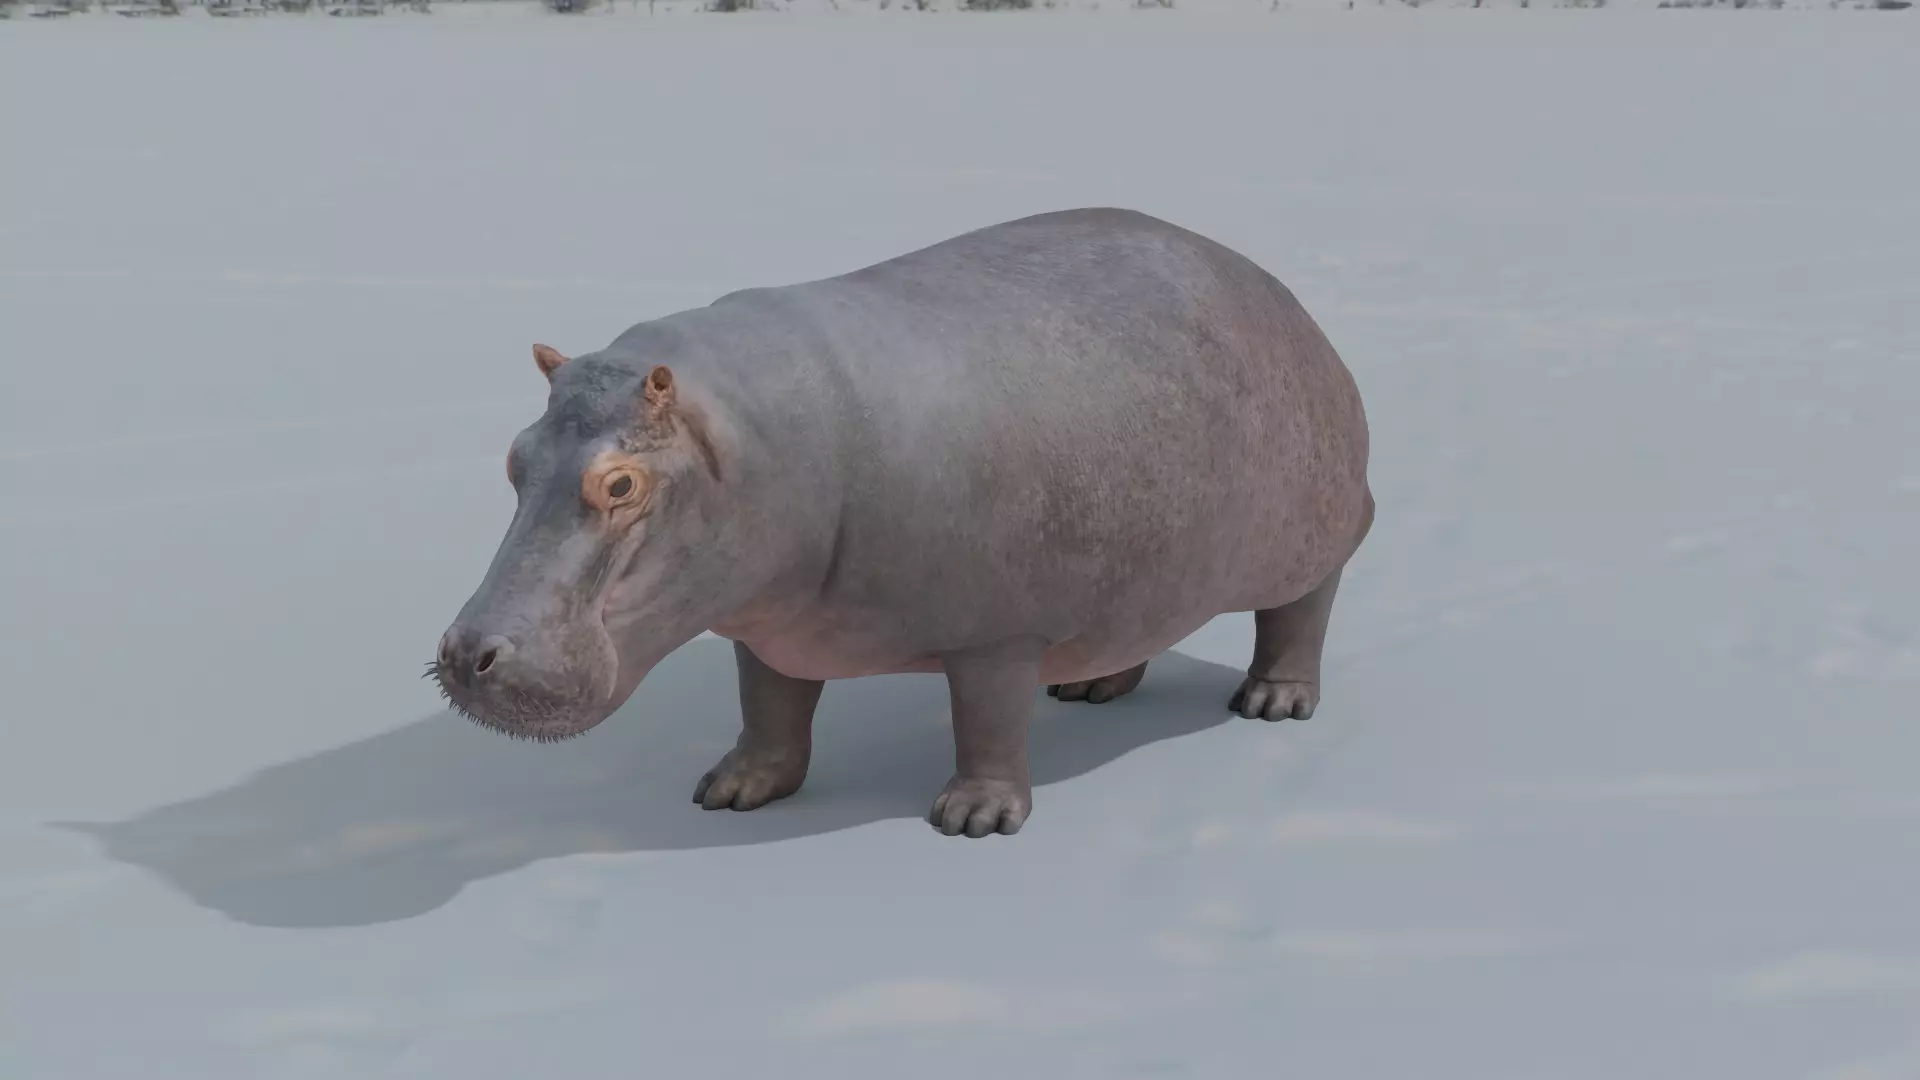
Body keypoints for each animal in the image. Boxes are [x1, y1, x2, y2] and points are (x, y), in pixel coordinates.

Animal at [433, 207, 1373, 838]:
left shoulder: (998, 632)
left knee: (1303, 611)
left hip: (1311, 528)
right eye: (516, 455)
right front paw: (731, 791)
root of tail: (1270, 284)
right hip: (1146, 565)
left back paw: (1272, 702)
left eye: (621, 483)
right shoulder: (769, 625)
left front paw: (973, 818)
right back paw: (1091, 688)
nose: (465, 654)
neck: (746, 435)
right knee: (1135, 625)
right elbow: (769, 707)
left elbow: (985, 717)